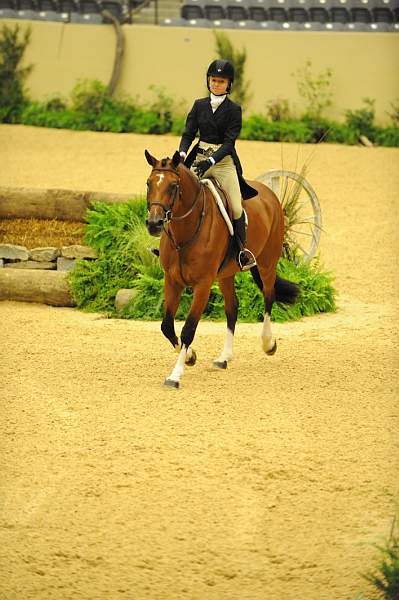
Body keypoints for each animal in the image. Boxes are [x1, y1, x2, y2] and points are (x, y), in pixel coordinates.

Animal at [145, 150, 298, 390]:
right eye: (149, 183)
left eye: (173, 186)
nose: (154, 224)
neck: (186, 231)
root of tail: (269, 194)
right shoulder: (172, 280)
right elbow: (167, 326)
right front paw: (190, 357)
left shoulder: (203, 285)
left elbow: (188, 329)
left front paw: (175, 375)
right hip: (227, 274)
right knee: (232, 308)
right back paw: (224, 357)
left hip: (267, 264)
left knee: (269, 296)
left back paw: (268, 344)